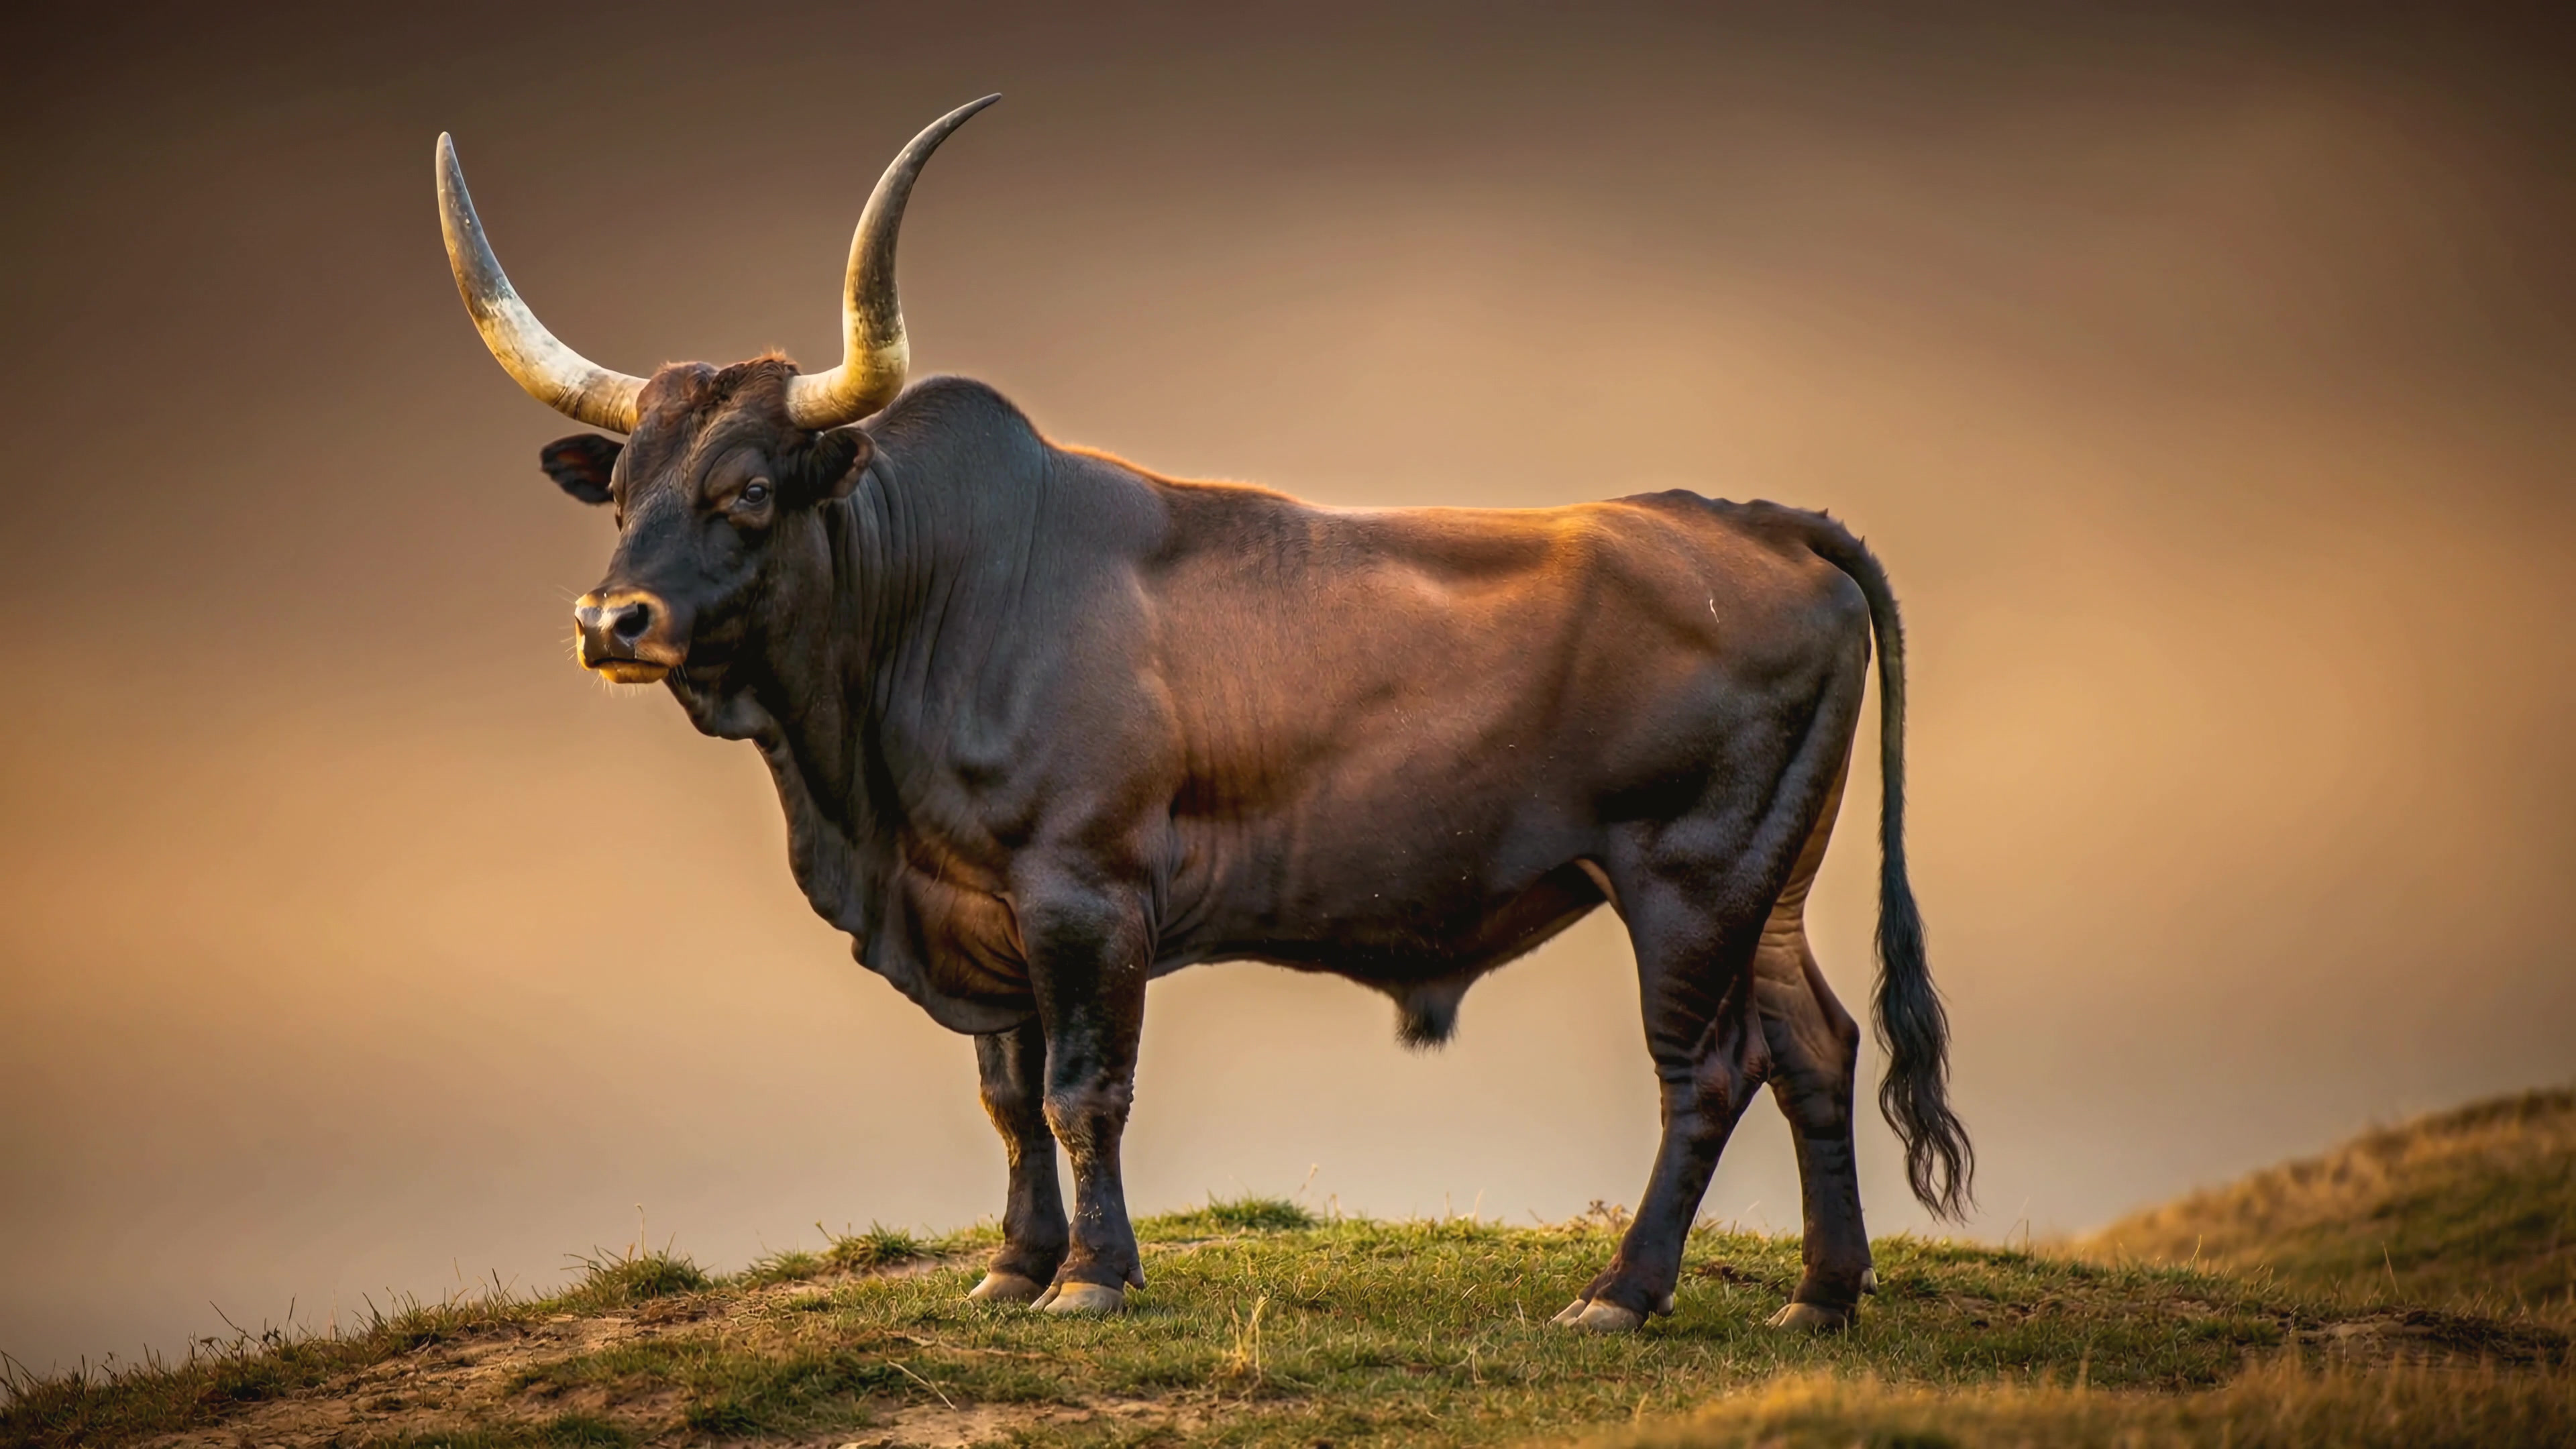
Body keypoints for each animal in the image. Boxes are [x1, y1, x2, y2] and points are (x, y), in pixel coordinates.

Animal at [434, 96, 1970, 1332]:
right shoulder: (979, 901)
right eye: (620, 486)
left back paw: (1620, 1296)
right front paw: (1011, 1269)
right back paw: (1821, 1298)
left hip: (1688, 877)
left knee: (1708, 1072)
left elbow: (1082, 1090)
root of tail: (1753, 518)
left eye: (749, 488)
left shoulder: (1083, 894)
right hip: (1768, 882)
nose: (611, 622)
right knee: (1818, 1047)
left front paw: (1091, 1279)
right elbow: (1007, 1095)